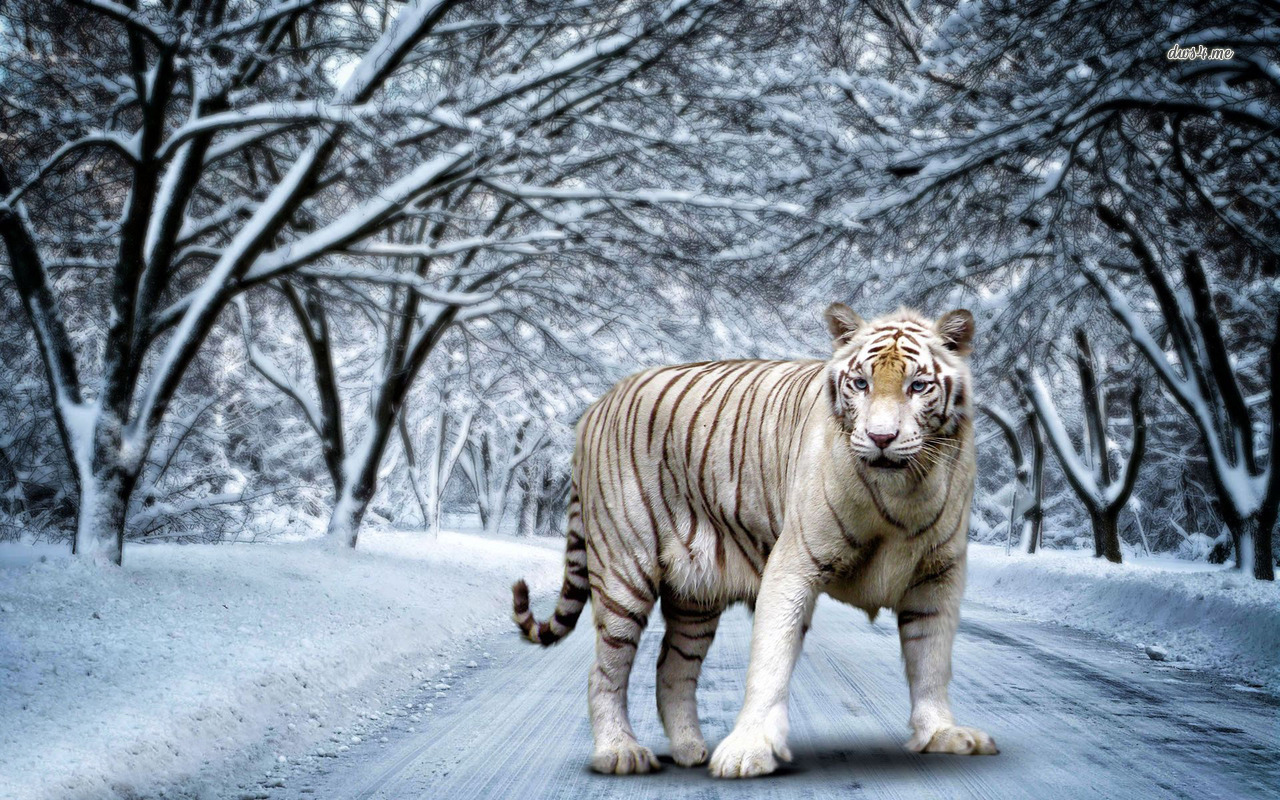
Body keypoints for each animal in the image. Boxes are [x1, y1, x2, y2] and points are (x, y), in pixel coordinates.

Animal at [510, 304, 997, 778]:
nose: (881, 438)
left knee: (671, 669)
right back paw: (619, 752)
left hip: (696, 595)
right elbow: (770, 661)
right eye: (861, 383)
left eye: (918, 386)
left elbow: (931, 659)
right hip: (624, 571)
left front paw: (941, 733)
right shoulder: (794, 564)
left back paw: (689, 749)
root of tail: (597, 403)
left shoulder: (938, 575)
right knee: (604, 671)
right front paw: (749, 751)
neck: (904, 493)